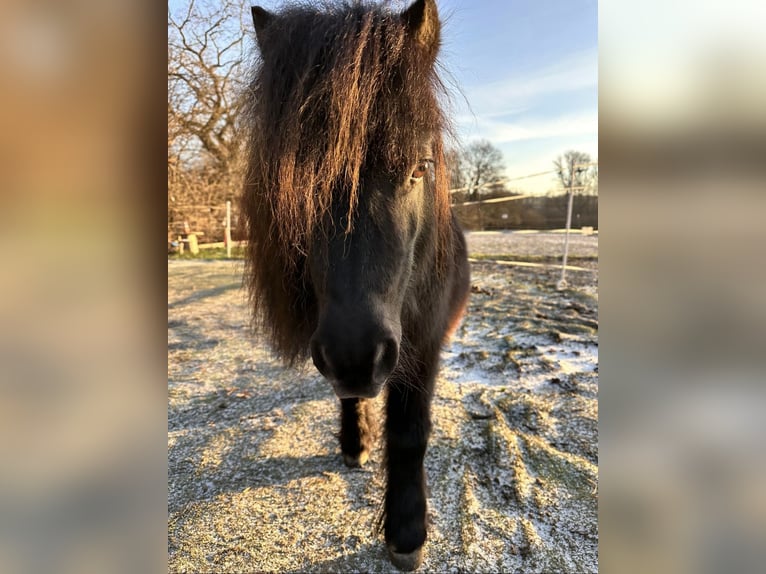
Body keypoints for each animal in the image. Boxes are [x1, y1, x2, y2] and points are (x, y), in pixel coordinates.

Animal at [242, 0, 468, 568]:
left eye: (420, 166)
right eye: (295, 182)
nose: (354, 354)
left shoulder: (423, 343)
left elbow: (410, 432)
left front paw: (407, 533)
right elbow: (349, 398)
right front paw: (354, 443)